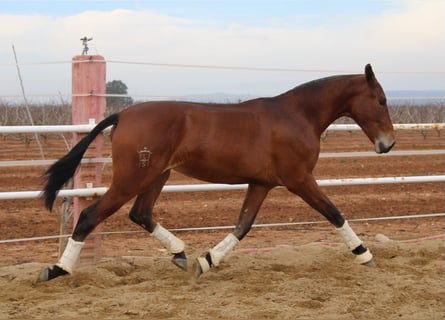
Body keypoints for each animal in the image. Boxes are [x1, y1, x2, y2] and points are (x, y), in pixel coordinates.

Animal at [39, 64, 392, 280]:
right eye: (381, 100)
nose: (388, 144)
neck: (297, 115)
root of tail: (122, 115)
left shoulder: (261, 183)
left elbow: (242, 226)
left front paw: (206, 261)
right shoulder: (299, 179)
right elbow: (334, 213)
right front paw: (364, 254)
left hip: (157, 176)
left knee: (141, 214)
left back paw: (180, 254)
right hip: (132, 178)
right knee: (91, 216)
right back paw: (57, 269)